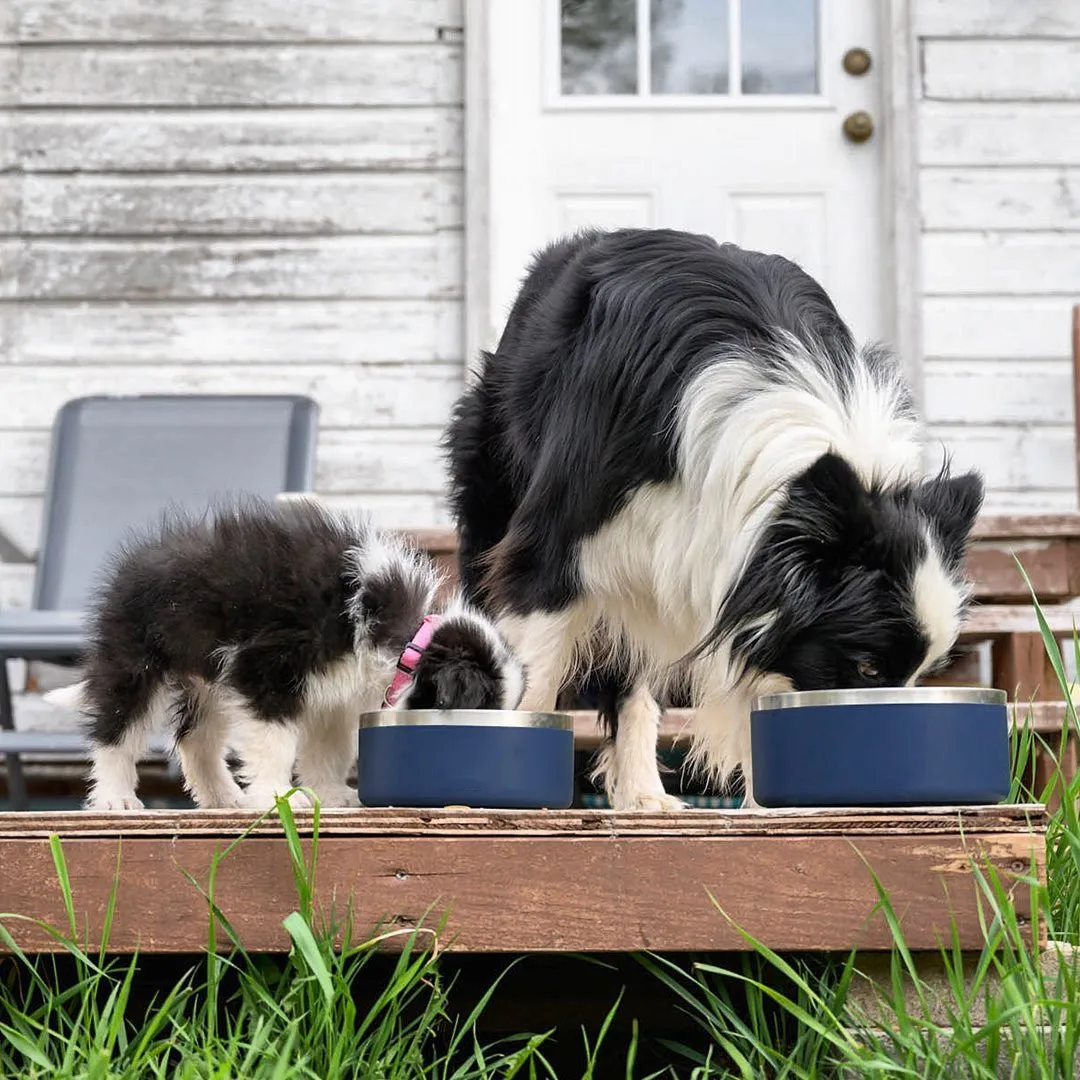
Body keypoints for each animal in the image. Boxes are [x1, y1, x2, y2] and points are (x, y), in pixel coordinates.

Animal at [44, 496, 524, 812]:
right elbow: (276, 743)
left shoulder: (334, 697)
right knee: (115, 731)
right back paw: (116, 797)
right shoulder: (267, 670)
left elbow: (329, 752)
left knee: (196, 739)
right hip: (137, 659)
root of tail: (131, 566)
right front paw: (277, 797)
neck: (406, 638)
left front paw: (331, 795)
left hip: (212, 680)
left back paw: (224, 799)